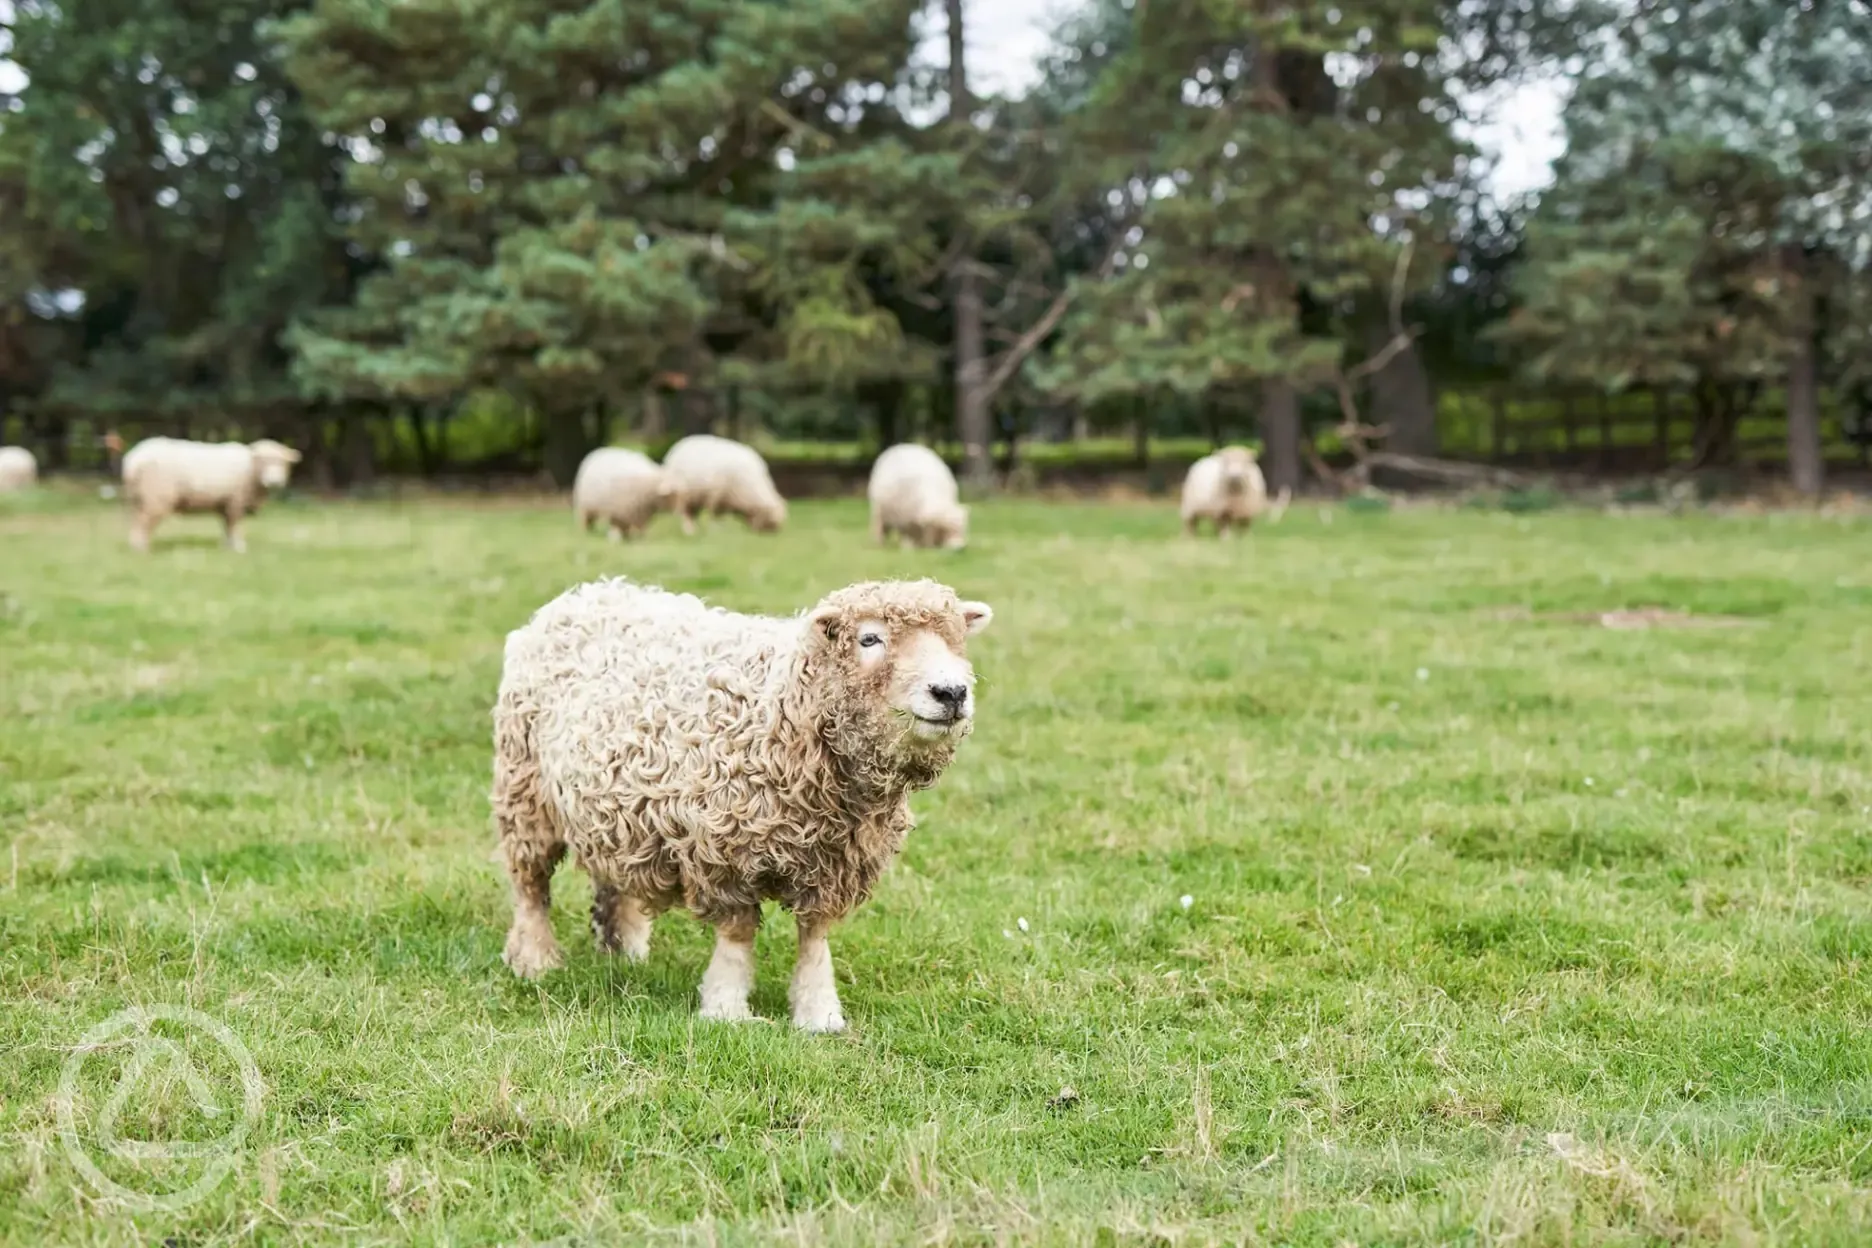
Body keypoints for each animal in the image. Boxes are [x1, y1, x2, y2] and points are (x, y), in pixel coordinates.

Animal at [120, 436, 302, 552]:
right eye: (263, 461)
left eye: (283, 463)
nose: (274, 481)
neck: (251, 470)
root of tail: (134, 460)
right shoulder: (236, 501)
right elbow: (236, 525)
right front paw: (239, 547)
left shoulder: (225, 502)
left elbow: (227, 525)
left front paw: (226, 546)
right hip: (156, 496)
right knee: (144, 522)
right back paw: (142, 549)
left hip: (137, 498)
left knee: (135, 521)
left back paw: (134, 546)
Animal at [492, 577, 994, 1032]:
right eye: (870, 638)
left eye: (956, 638)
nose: (951, 693)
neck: (785, 706)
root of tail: (585, 593)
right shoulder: (724, 852)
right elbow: (737, 936)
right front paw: (726, 1010)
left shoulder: (832, 863)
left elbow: (815, 938)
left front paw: (819, 1015)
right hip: (525, 790)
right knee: (530, 886)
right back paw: (535, 960)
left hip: (612, 807)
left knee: (612, 877)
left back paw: (624, 951)